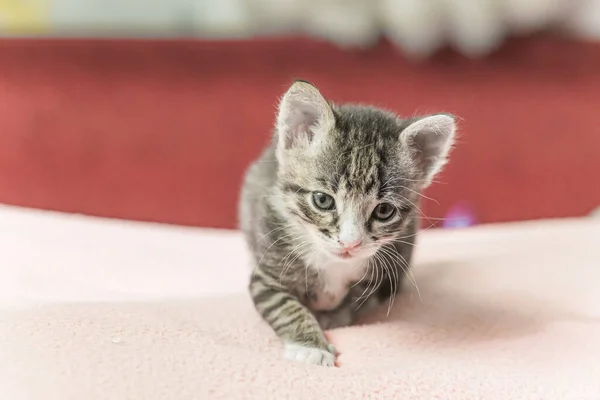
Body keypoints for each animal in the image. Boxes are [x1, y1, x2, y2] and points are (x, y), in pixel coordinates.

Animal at [239, 79, 454, 368]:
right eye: (322, 200)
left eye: (384, 210)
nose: (350, 243)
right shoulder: (266, 274)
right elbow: (283, 307)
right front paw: (310, 346)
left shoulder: (381, 275)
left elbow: (355, 302)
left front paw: (332, 317)